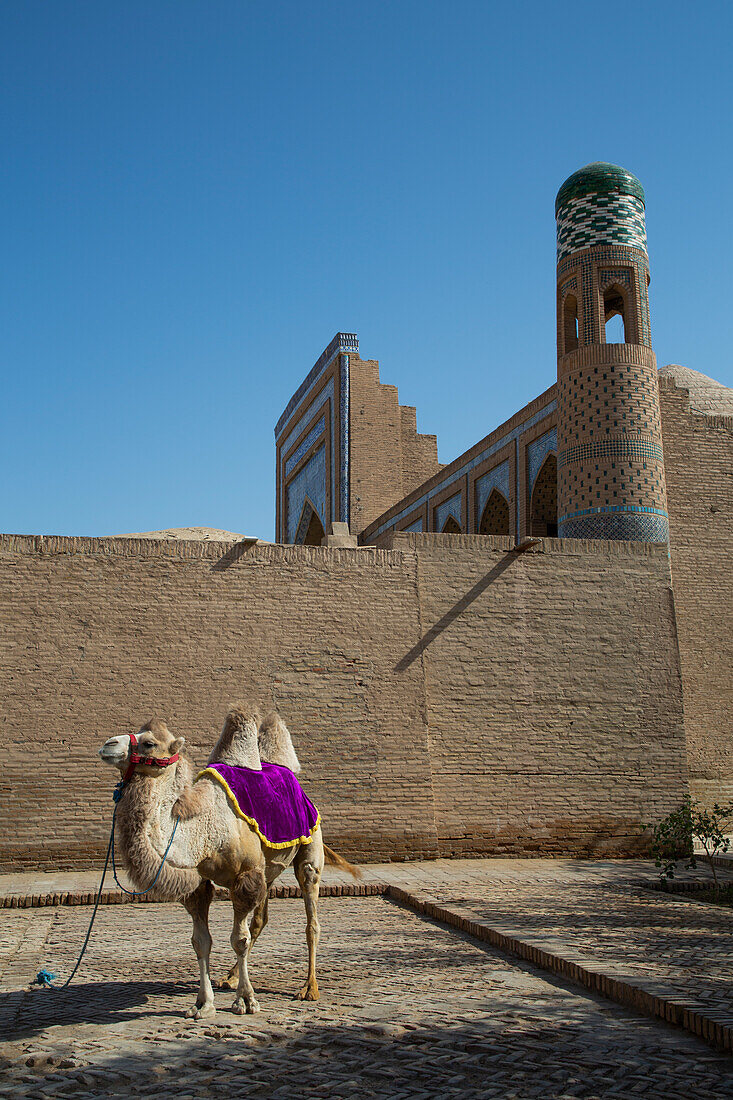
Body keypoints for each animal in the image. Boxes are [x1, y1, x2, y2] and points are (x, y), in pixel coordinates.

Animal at [98, 708, 358, 1016]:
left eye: (149, 743)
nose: (108, 745)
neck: (205, 826)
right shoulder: (201, 883)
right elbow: (201, 942)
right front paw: (202, 1003)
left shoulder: (245, 876)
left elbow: (238, 939)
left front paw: (246, 1000)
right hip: (268, 868)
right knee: (261, 919)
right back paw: (230, 977)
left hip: (310, 846)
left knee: (311, 919)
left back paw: (309, 988)